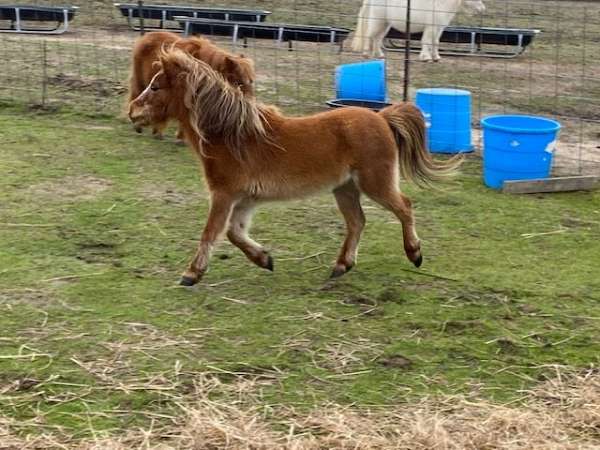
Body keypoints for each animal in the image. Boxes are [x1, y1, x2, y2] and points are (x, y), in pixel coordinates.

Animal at [129, 49, 462, 286]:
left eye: (156, 86)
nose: (133, 111)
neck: (233, 135)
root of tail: (382, 117)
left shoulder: (224, 195)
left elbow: (211, 232)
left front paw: (192, 273)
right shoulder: (244, 200)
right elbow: (235, 233)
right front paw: (264, 259)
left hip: (375, 183)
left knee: (404, 207)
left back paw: (414, 253)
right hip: (345, 188)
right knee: (357, 222)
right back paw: (341, 266)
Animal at [354, 0, 486, 61]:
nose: (483, 9)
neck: (440, 5)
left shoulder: (438, 28)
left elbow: (435, 42)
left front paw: (436, 57)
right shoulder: (430, 28)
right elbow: (426, 42)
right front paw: (426, 57)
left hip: (385, 24)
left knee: (377, 38)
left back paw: (380, 55)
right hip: (378, 21)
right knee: (369, 36)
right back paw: (366, 54)